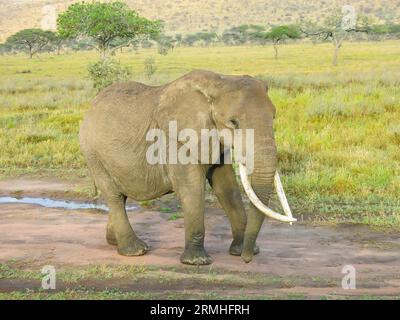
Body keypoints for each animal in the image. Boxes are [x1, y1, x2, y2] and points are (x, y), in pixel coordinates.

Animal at [79, 69, 296, 264]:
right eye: (233, 122)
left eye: (274, 117)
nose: (247, 259)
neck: (220, 81)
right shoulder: (175, 139)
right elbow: (191, 188)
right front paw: (197, 261)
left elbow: (227, 187)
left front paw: (239, 251)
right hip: (93, 153)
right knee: (114, 196)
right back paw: (136, 251)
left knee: (120, 196)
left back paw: (113, 241)